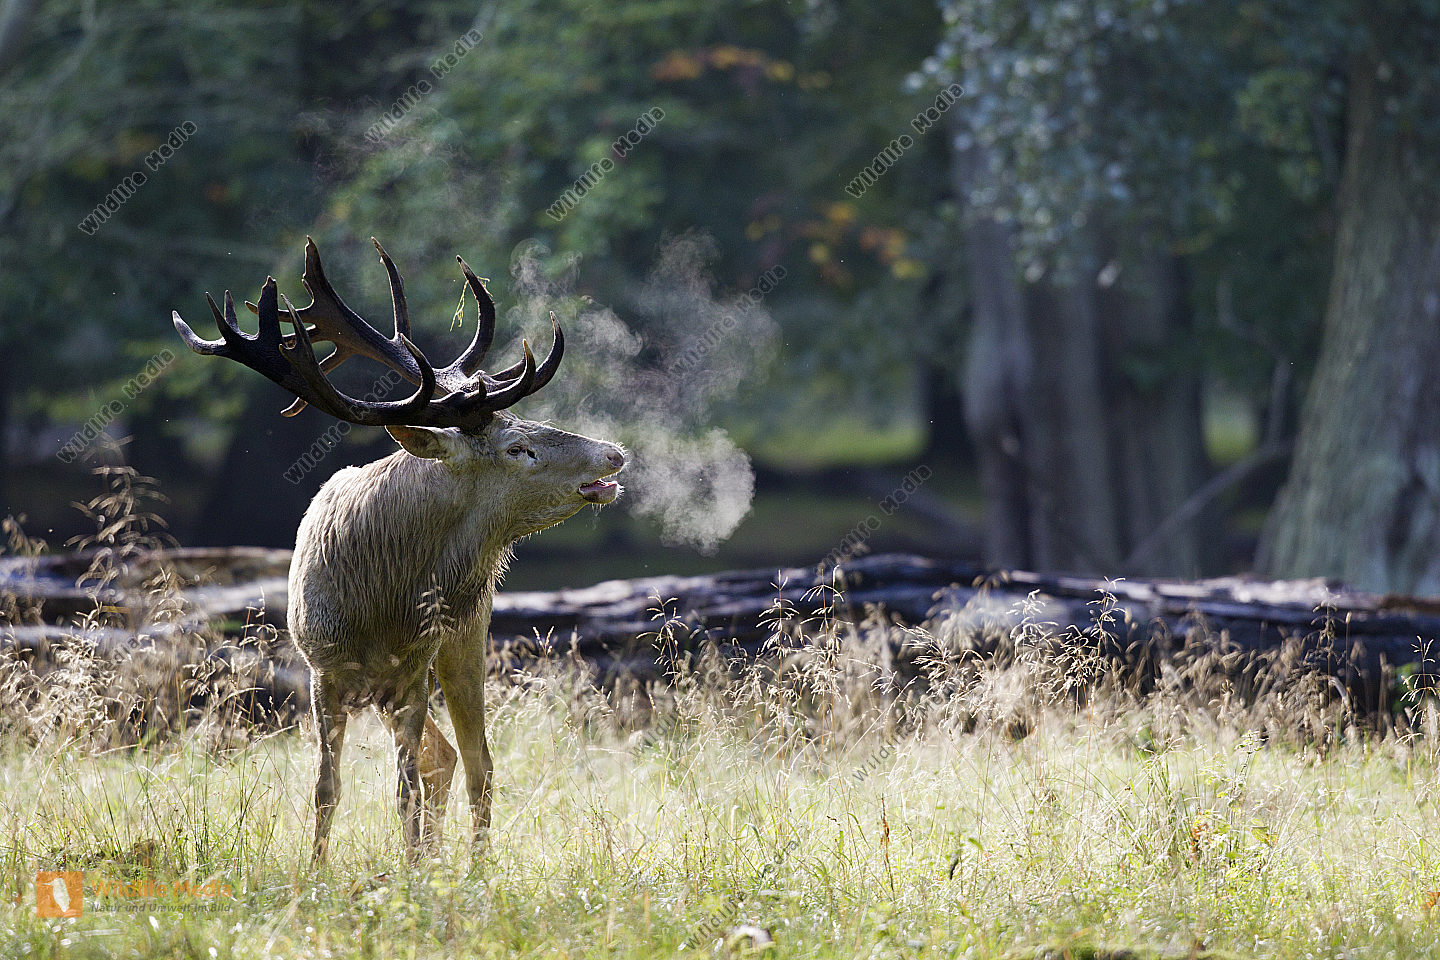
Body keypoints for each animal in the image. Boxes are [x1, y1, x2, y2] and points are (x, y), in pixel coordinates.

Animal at [173, 237, 625, 863]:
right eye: (518, 447)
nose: (614, 454)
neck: (378, 609)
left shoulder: (413, 671)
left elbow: (405, 786)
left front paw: (413, 871)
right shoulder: (321, 672)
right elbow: (327, 787)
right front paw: (318, 868)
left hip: (464, 637)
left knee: (476, 759)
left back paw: (473, 863)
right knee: (449, 756)